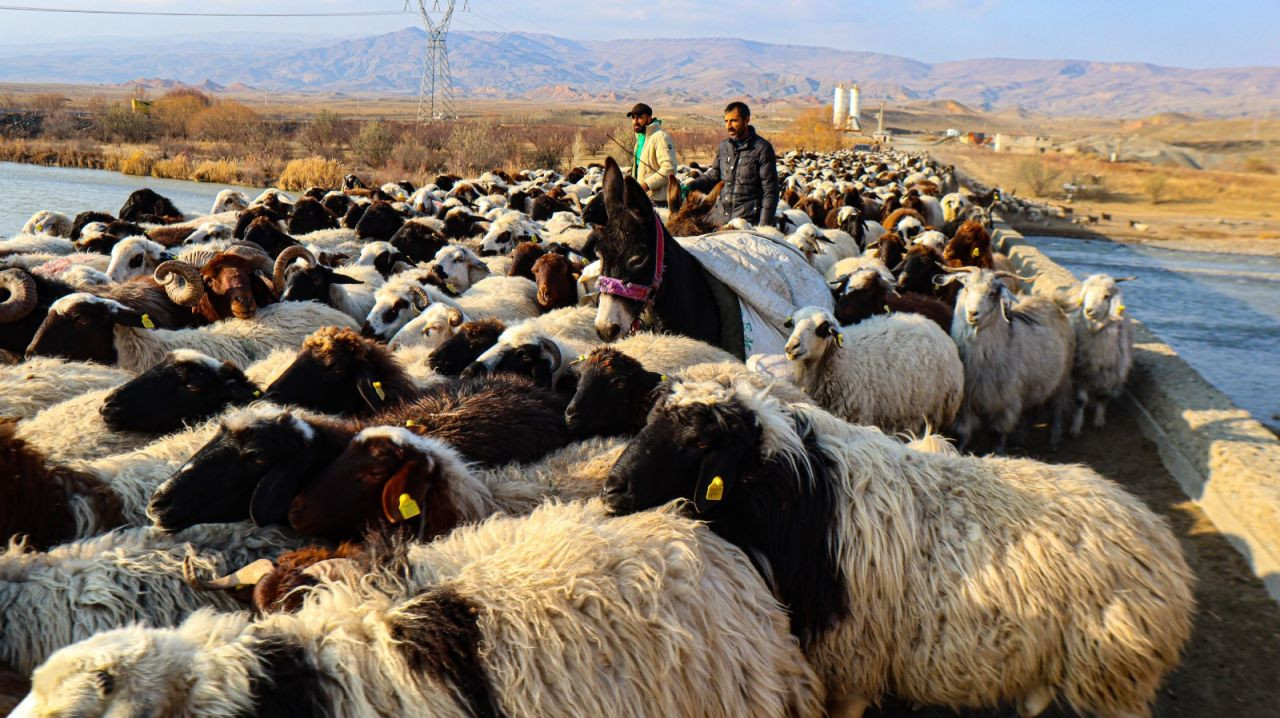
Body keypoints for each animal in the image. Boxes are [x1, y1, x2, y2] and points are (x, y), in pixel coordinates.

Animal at [783, 303, 962, 430]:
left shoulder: (858, 416)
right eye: (794, 323)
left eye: (822, 328)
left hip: (936, 412)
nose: (791, 347)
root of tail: (934, 326)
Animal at [1059, 272, 1141, 430]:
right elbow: (1080, 400)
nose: (1088, 311)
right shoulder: (1080, 374)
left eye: (1106, 296)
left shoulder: (1110, 375)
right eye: (1086, 294)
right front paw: (1076, 426)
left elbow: (1103, 398)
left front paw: (1099, 421)